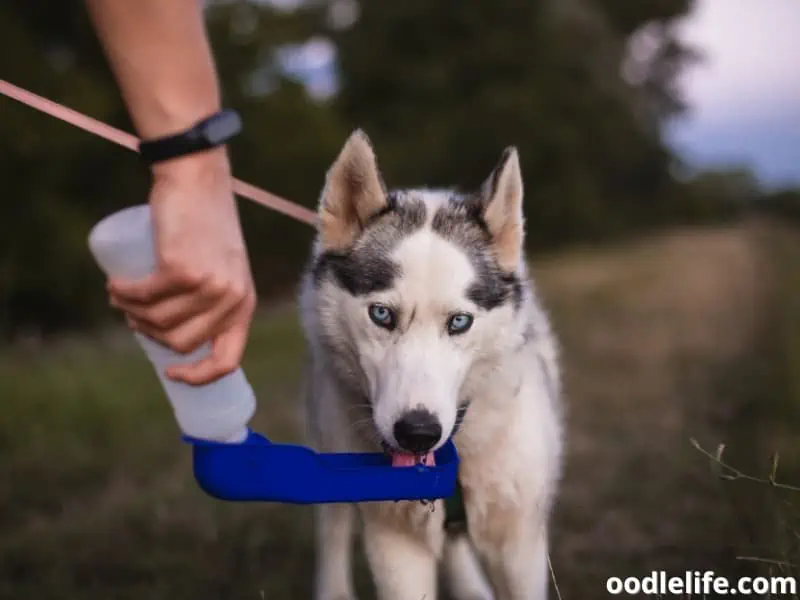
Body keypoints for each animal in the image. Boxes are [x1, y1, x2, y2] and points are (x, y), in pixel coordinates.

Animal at [298, 131, 564, 600]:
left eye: (459, 322)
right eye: (381, 314)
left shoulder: (520, 544)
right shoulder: (393, 544)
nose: (418, 433)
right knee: (332, 531)